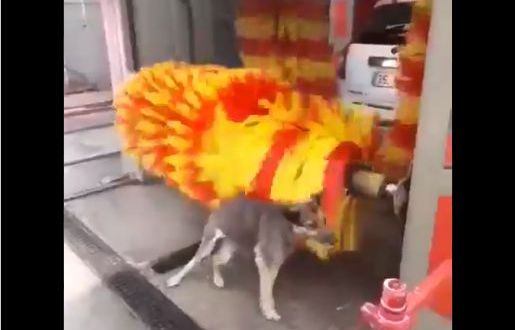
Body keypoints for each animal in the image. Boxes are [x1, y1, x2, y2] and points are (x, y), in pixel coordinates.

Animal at [167, 195, 332, 320]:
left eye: (324, 220)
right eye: (311, 225)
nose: (334, 239)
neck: (288, 225)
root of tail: (223, 204)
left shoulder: (273, 264)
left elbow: (269, 288)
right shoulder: (265, 262)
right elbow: (267, 291)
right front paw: (269, 311)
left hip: (228, 251)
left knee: (215, 259)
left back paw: (218, 279)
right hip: (209, 241)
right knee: (193, 261)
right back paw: (176, 279)